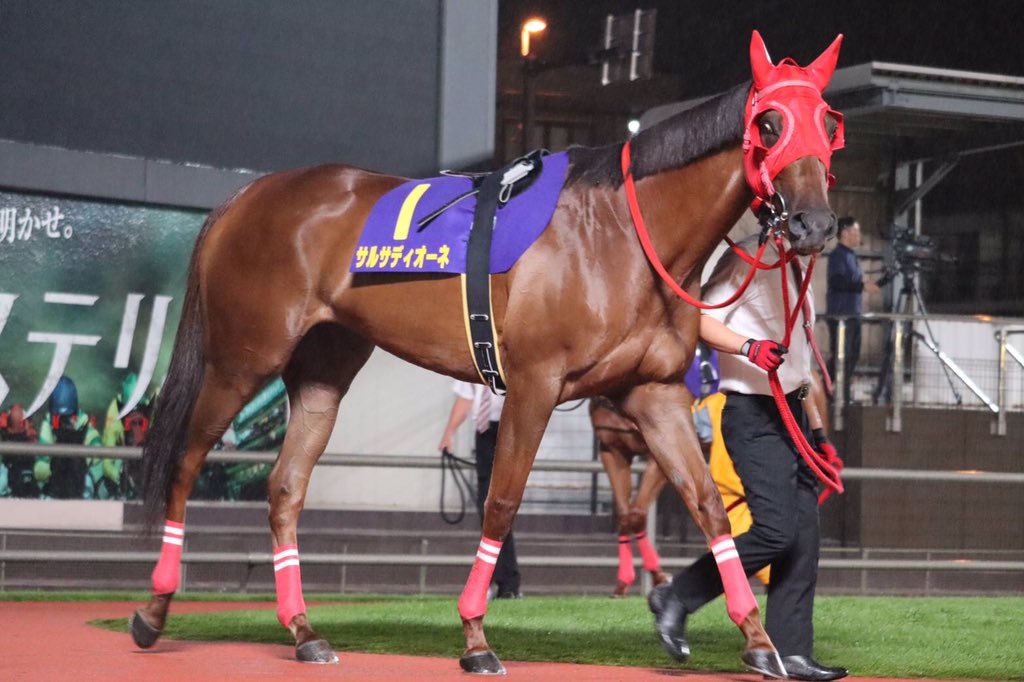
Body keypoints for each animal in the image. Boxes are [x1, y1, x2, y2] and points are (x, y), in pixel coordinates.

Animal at [129, 31, 844, 678]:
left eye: (828, 125)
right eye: (770, 122)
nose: (814, 224)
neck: (619, 236)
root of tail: (244, 197)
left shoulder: (656, 393)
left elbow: (708, 505)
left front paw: (758, 640)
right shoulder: (535, 384)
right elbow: (501, 500)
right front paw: (475, 637)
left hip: (323, 371)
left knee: (285, 488)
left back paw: (303, 630)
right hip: (242, 358)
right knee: (186, 462)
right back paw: (154, 611)